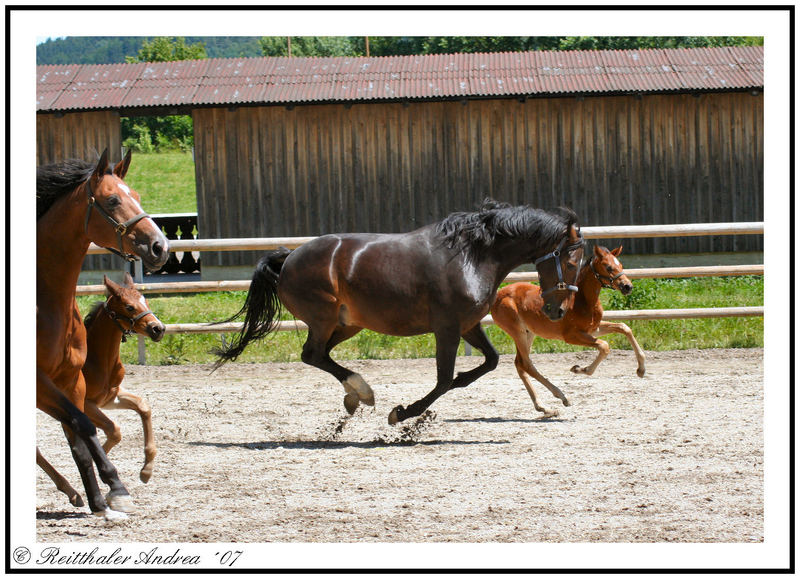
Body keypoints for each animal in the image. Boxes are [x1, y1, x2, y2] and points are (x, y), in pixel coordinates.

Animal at [38, 148, 170, 516]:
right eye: (112, 200)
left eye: (136, 195)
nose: (160, 246)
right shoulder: (43, 383)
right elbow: (85, 427)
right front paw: (115, 487)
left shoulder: (73, 383)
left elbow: (85, 434)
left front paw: (104, 494)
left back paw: (72, 491)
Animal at [216, 201, 584, 426]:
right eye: (571, 261)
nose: (557, 310)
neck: (474, 255)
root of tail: (290, 257)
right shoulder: (447, 328)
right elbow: (443, 379)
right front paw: (403, 413)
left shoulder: (468, 325)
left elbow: (489, 361)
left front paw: (458, 383)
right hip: (323, 318)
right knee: (312, 354)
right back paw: (363, 392)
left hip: (347, 324)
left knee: (322, 355)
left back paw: (354, 395)